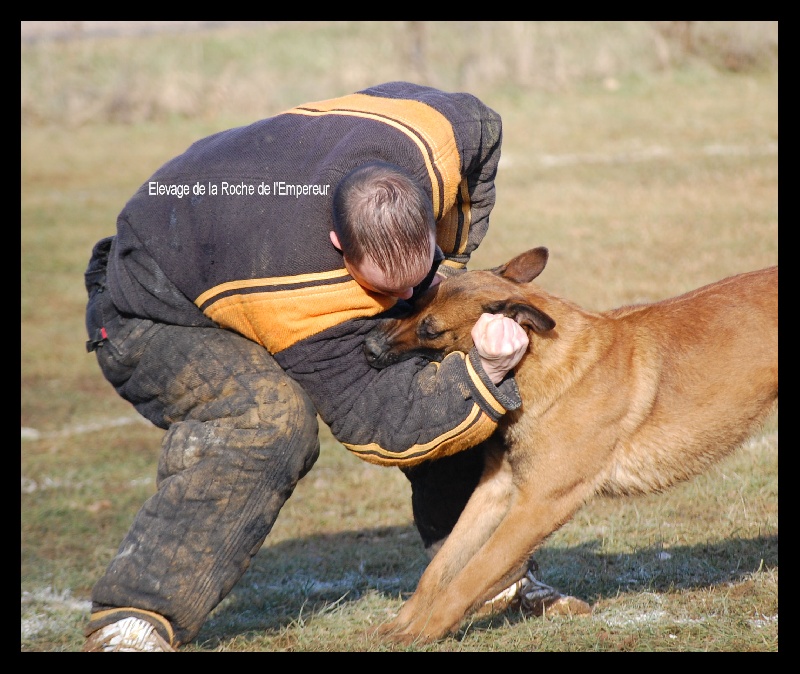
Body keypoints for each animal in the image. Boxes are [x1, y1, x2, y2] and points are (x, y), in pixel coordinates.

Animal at [366, 245, 780, 640]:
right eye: (414, 304)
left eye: (431, 330)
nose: (369, 347)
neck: (538, 361)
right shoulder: (494, 491)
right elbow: (441, 567)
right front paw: (403, 622)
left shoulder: (539, 504)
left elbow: (474, 573)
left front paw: (424, 630)